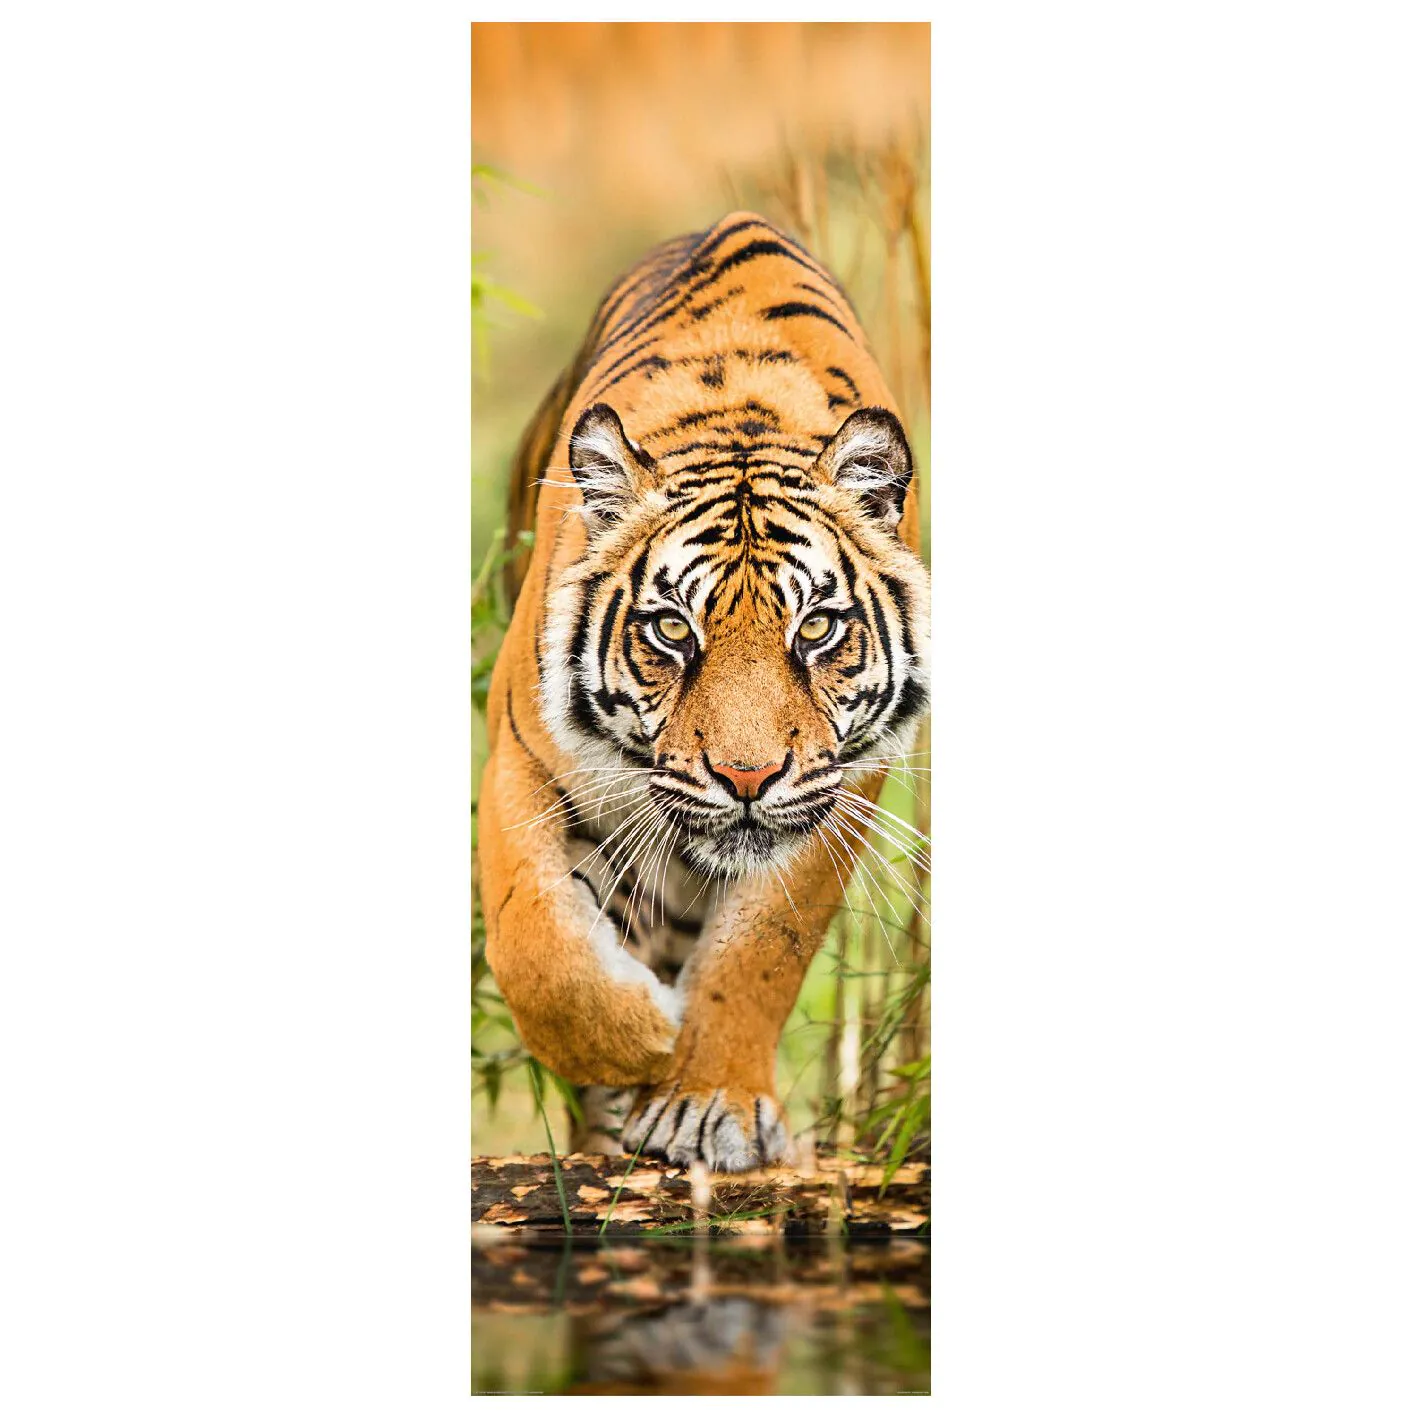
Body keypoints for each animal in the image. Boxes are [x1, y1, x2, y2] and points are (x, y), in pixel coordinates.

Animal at [478, 211, 930, 1172]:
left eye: (816, 628)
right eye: (672, 630)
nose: (746, 777)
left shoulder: (837, 790)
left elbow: (759, 952)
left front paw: (701, 1098)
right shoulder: (518, 759)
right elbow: (535, 940)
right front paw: (636, 1039)